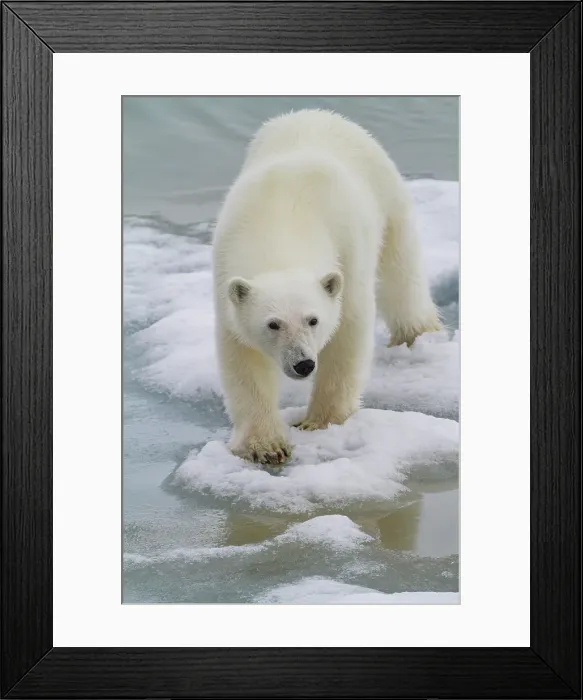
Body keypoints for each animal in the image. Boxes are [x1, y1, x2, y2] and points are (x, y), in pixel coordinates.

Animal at [212, 109, 440, 466]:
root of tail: (315, 113)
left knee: (401, 269)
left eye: (313, 320)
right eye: (273, 324)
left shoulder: (347, 248)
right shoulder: (226, 272)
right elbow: (242, 358)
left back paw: (416, 332)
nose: (303, 363)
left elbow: (347, 331)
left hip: (386, 191)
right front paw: (265, 445)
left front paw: (320, 422)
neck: (280, 223)